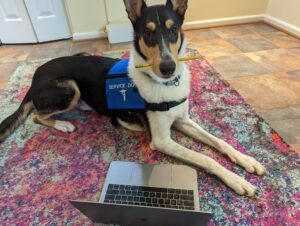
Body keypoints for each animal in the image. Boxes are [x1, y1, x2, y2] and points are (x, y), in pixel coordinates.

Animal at [0, 0, 266, 196]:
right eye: (147, 33)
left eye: (173, 30)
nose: (168, 67)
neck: (165, 84)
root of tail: (36, 74)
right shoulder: (162, 140)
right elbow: (206, 157)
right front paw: (236, 180)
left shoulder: (183, 120)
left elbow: (219, 142)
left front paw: (246, 160)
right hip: (70, 90)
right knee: (36, 115)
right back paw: (63, 124)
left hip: (82, 56)